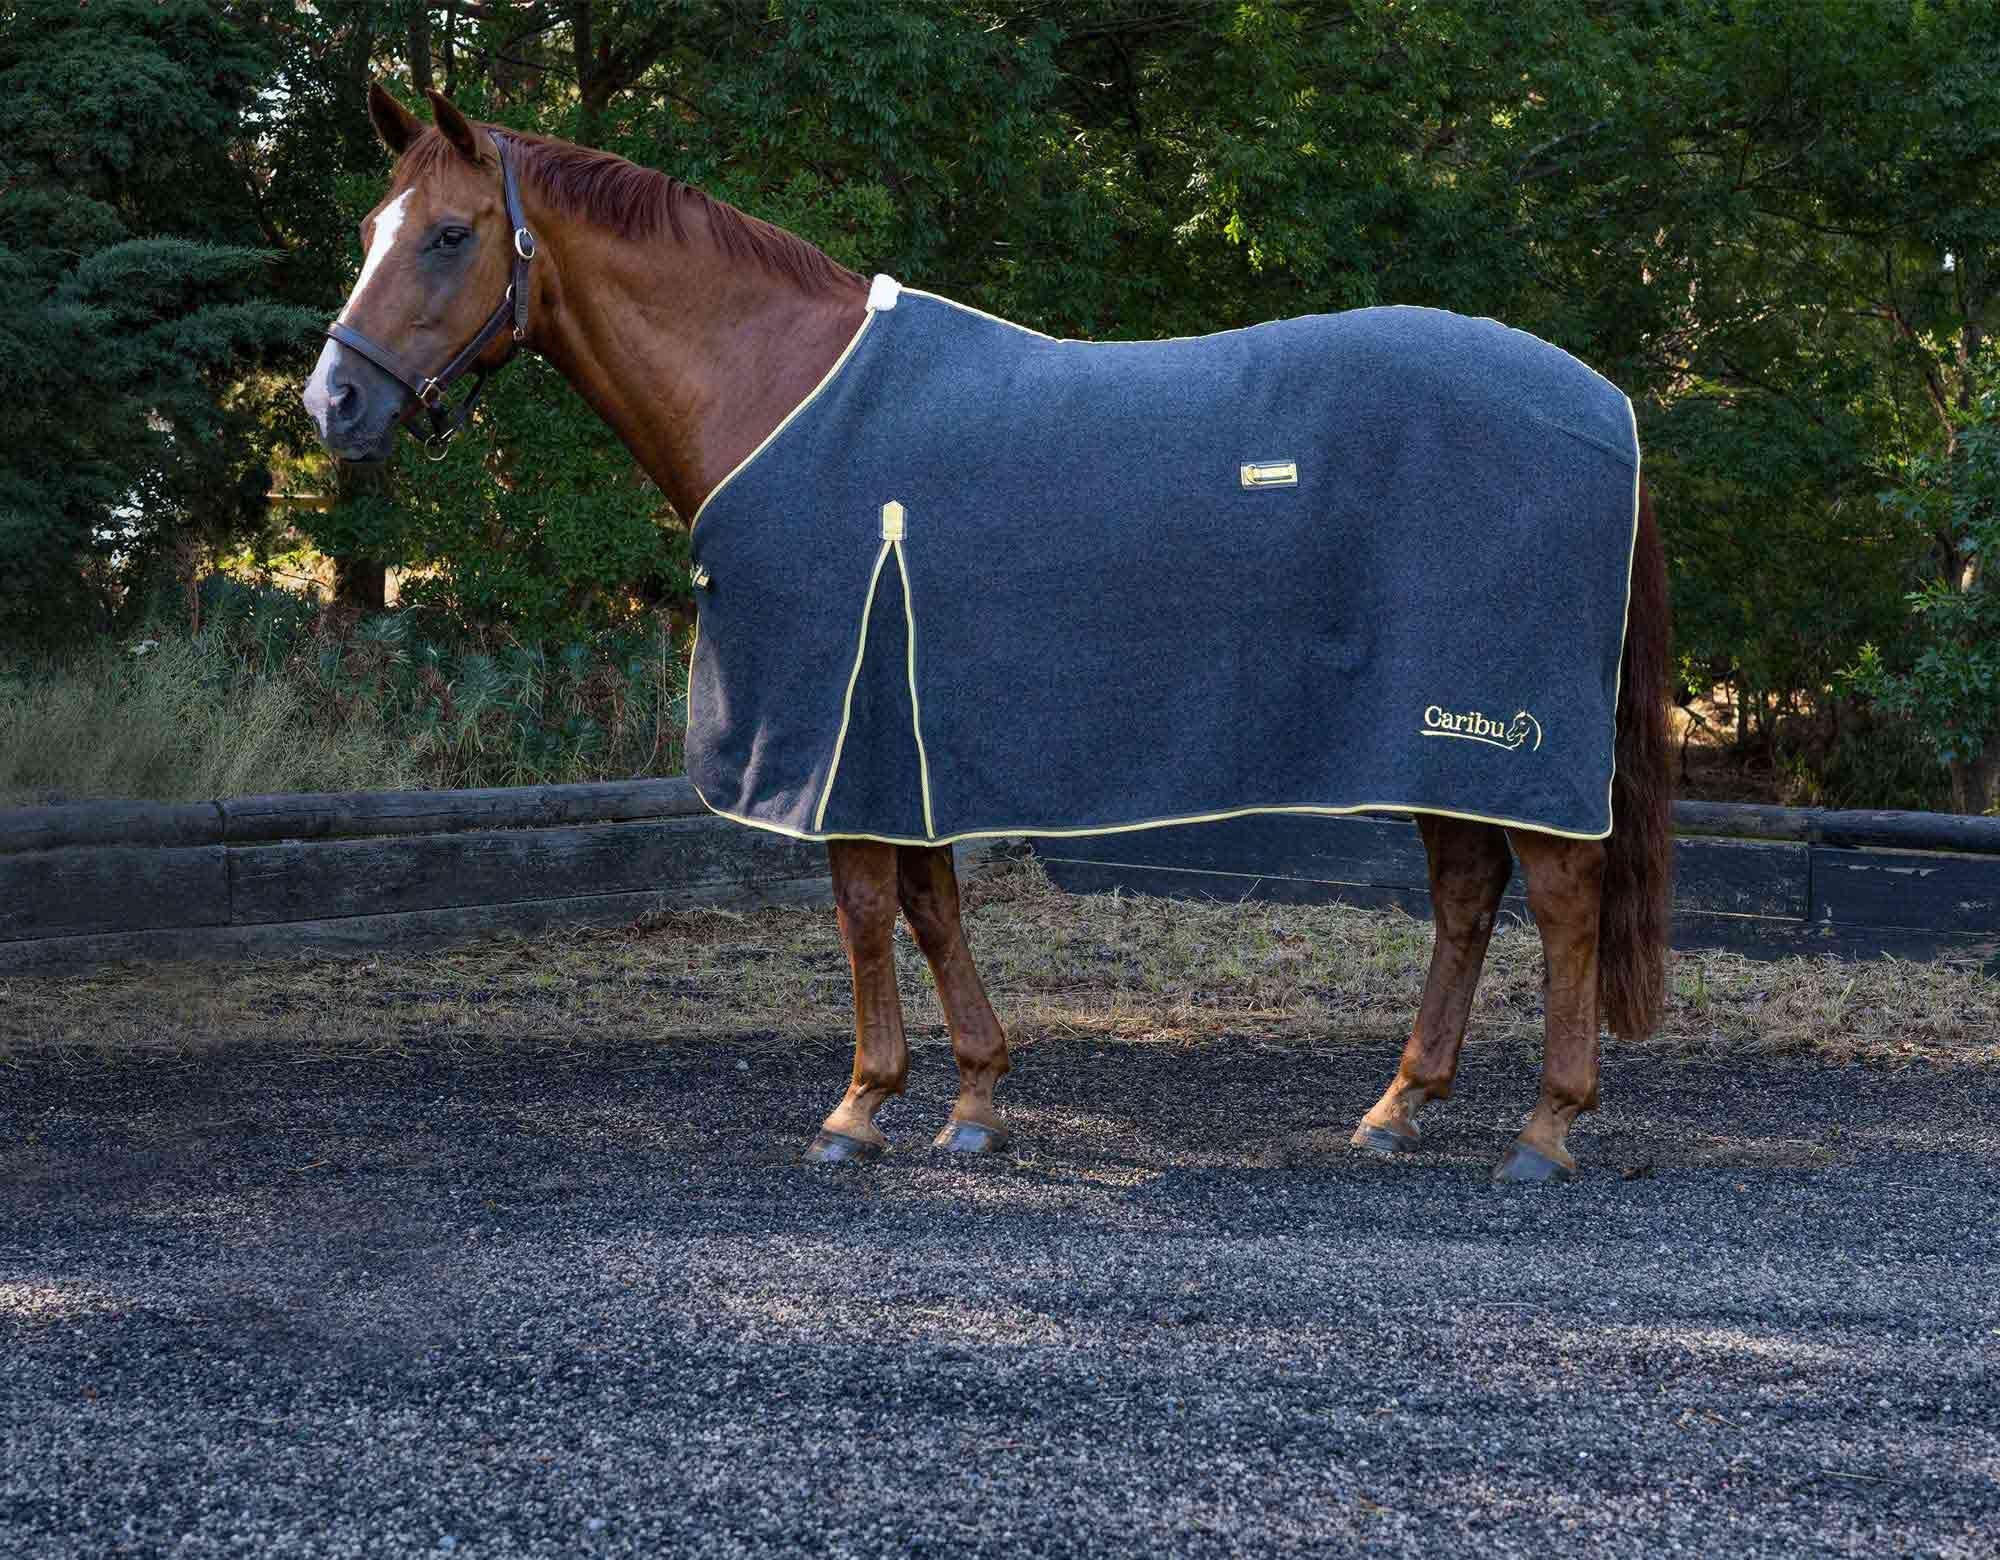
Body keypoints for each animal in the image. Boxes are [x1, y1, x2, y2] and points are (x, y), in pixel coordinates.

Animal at [303, 86, 1672, 1184]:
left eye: (448, 234)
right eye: (370, 230)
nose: (334, 402)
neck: (779, 391)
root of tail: (1605, 405)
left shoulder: (842, 726)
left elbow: (866, 908)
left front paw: (858, 1112)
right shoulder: (902, 726)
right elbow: (931, 904)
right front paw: (972, 1101)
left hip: (1490, 725)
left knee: (1558, 897)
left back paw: (1545, 1130)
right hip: (1432, 738)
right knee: (1466, 895)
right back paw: (1398, 1107)